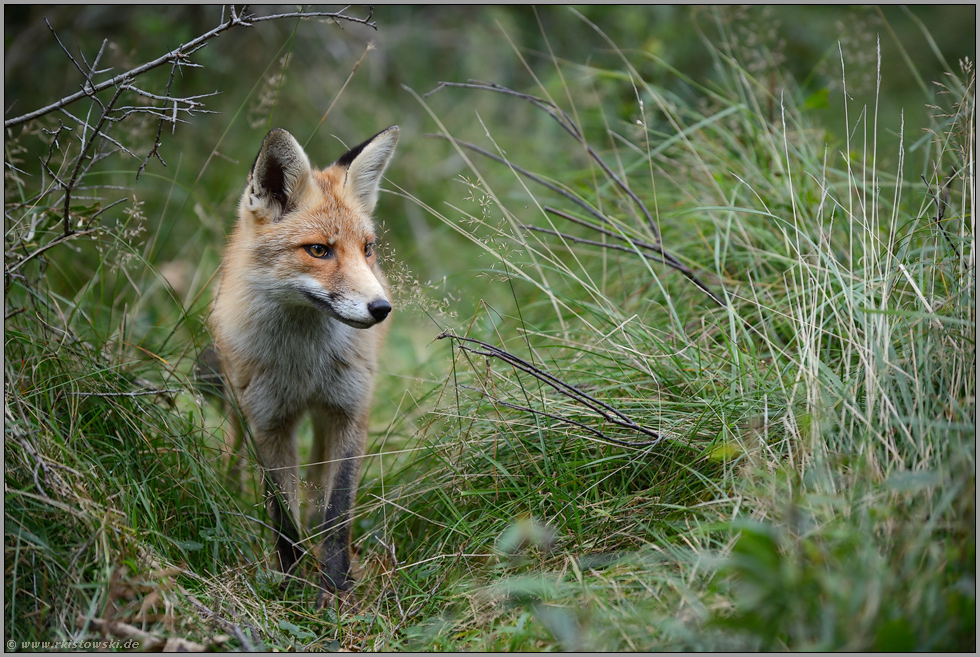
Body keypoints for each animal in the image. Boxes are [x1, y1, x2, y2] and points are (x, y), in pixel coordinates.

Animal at [210, 125, 398, 608]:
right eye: (319, 250)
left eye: (367, 249)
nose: (381, 309)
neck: (306, 364)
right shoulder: (270, 421)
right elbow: (282, 520)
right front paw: (290, 586)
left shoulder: (351, 412)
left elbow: (338, 513)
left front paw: (335, 588)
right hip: (239, 405)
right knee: (234, 450)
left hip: (328, 414)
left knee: (317, 478)